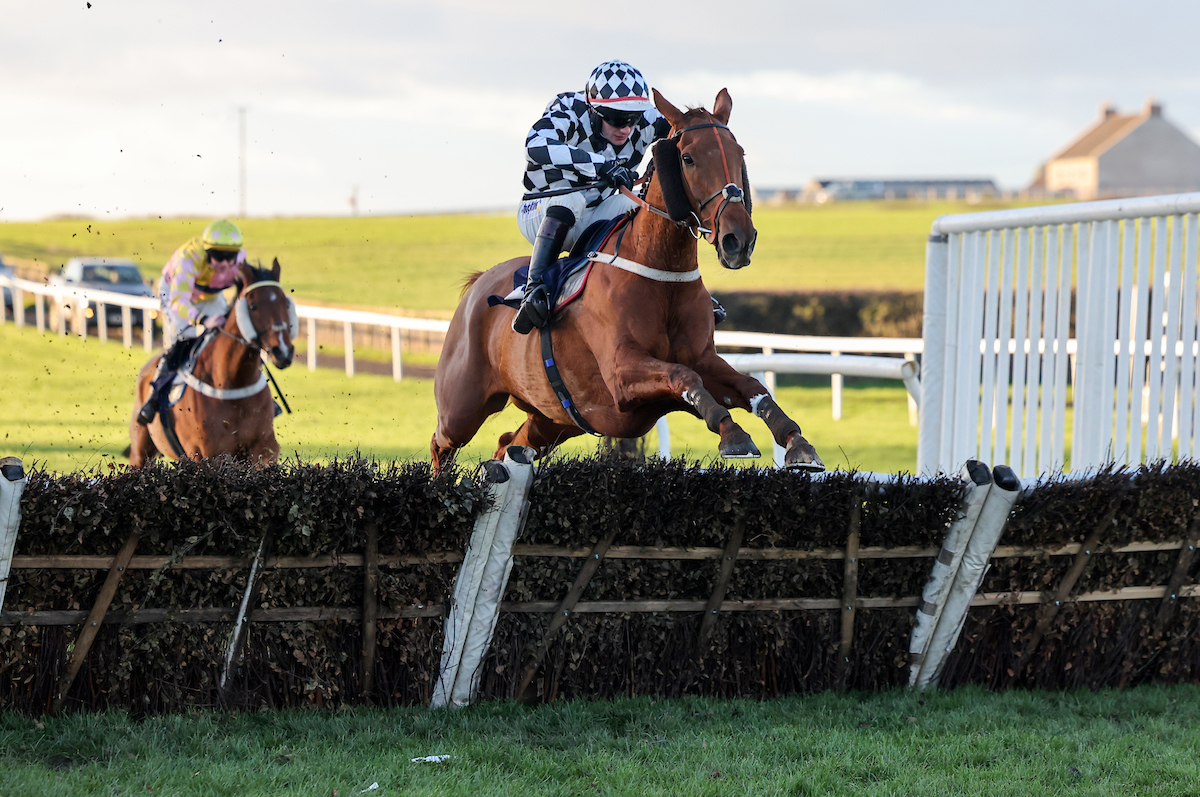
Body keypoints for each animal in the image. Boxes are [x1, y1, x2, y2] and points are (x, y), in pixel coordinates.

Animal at [128, 260, 297, 468]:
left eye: (285, 303)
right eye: (253, 305)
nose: (283, 351)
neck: (232, 381)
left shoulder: (264, 447)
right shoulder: (206, 453)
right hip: (141, 450)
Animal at [432, 88, 825, 472]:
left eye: (738, 152)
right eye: (688, 158)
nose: (738, 240)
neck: (663, 277)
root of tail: (479, 284)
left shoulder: (703, 358)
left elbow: (753, 386)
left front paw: (798, 442)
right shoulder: (621, 373)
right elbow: (684, 377)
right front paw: (734, 435)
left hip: (555, 420)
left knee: (507, 445)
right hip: (462, 407)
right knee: (441, 445)